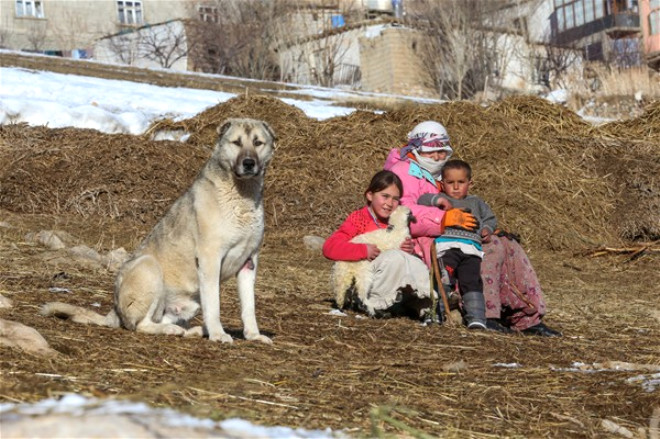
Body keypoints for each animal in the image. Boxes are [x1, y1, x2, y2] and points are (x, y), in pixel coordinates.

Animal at [41, 118, 274, 346]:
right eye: (236, 142)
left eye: (258, 143)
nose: (249, 163)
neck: (242, 194)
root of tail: (114, 310)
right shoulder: (210, 259)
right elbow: (214, 304)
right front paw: (219, 334)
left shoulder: (249, 263)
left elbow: (249, 307)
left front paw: (253, 335)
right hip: (149, 268)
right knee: (142, 325)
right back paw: (175, 330)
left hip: (188, 302)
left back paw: (192, 330)